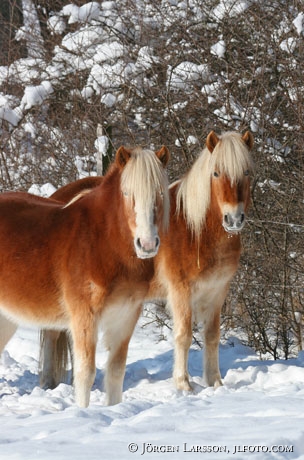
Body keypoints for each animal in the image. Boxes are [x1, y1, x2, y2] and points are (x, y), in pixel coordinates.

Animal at [0, 146, 170, 408]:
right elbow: (85, 374)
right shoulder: (84, 317)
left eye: (160, 193)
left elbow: (115, 372)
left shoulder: (126, 317)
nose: (148, 244)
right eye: (127, 192)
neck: (102, 243)